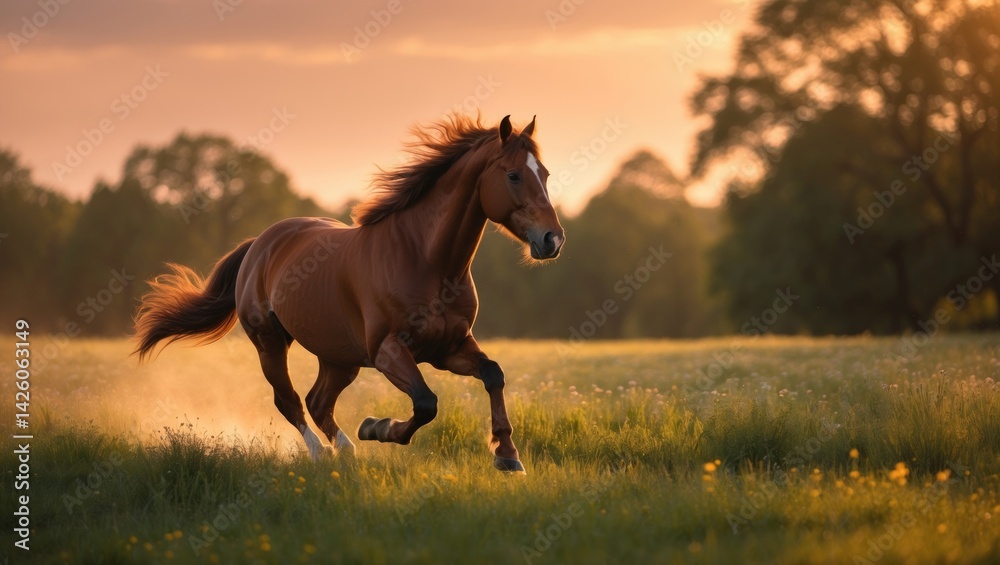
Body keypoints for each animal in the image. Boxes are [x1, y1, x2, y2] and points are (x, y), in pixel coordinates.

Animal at [133, 115, 564, 473]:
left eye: (544, 172)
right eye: (513, 175)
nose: (552, 239)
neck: (425, 261)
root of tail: (260, 244)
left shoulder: (449, 348)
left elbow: (493, 374)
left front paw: (508, 456)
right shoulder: (389, 351)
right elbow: (426, 403)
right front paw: (377, 427)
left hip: (339, 357)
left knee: (317, 401)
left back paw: (345, 451)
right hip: (269, 343)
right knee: (289, 401)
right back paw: (324, 454)